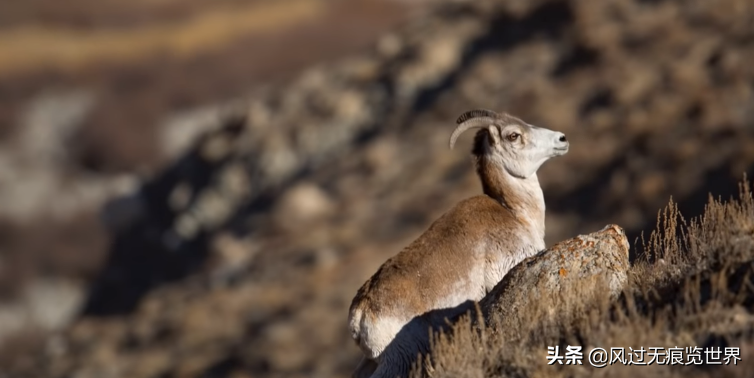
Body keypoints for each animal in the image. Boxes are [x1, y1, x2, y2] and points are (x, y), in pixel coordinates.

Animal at [346, 110, 564, 378]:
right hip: (399, 359)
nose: (561, 139)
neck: (515, 212)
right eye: (513, 135)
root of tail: (360, 312)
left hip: (373, 360)